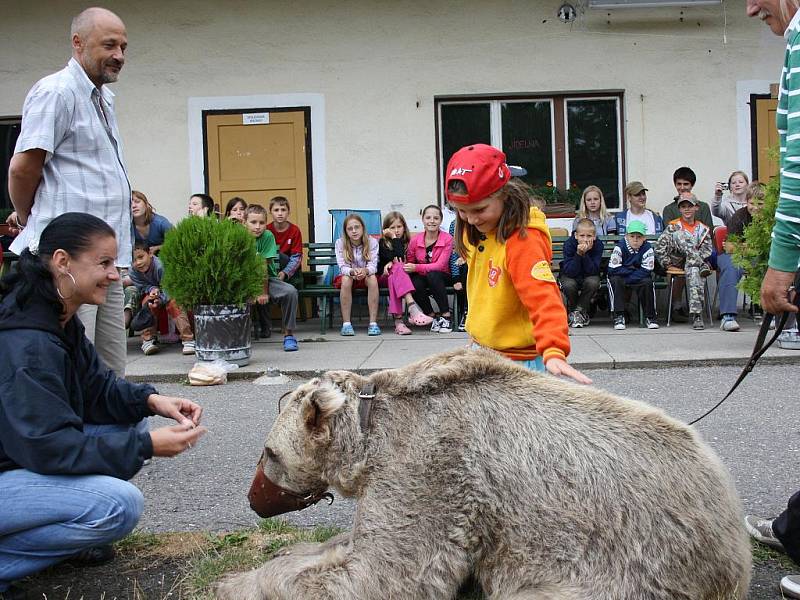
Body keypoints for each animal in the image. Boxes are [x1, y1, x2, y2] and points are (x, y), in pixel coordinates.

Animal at [217, 346, 752, 600]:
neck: (372, 432)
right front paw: (283, 557)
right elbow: (352, 547)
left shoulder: (433, 463)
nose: (252, 500)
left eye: (269, 455)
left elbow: (389, 573)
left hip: (641, 561)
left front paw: (235, 583)